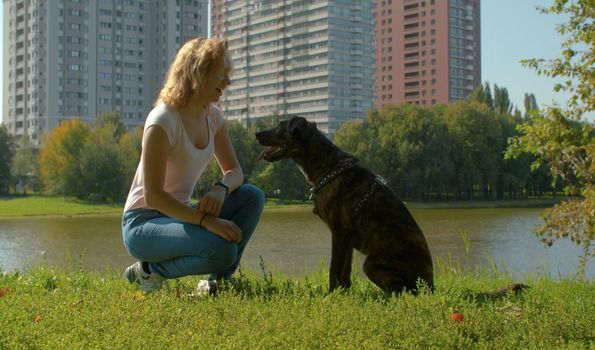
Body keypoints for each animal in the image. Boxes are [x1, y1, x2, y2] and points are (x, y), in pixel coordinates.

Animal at [255, 116, 434, 294]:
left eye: (280, 127)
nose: (256, 134)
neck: (329, 168)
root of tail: (431, 286)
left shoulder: (340, 232)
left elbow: (334, 268)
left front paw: (331, 294)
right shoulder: (347, 238)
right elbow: (345, 271)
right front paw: (344, 292)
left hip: (371, 264)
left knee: (403, 291)